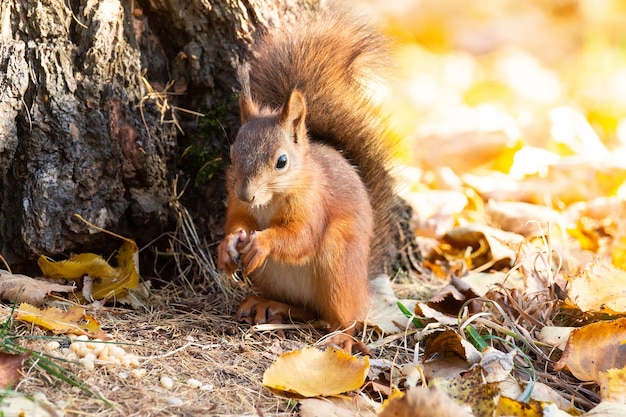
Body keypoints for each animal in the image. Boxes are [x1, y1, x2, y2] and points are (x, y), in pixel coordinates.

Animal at [217, 9, 398, 350]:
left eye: (282, 161)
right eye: (232, 155)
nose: (247, 193)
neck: (270, 201)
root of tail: (364, 286)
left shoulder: (314, 204)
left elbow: (302, 237)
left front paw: (262, 242)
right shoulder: (236, 202)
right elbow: (235, 222)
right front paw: (227, 245)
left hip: (339, 266)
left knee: (347, 317)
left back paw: (341, 337)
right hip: (271, 277)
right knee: (306, 309)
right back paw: (267, 304)